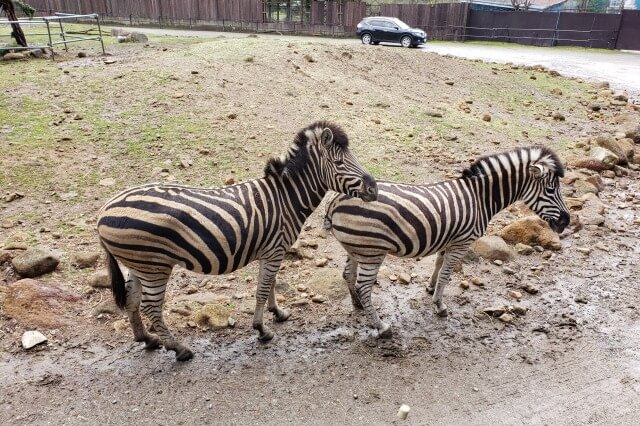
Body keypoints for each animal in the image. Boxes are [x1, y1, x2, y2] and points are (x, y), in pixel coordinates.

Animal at [94, 121, 376, 362]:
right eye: (339, 162)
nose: (373, 188)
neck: (287, 198)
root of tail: (103, 212)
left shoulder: (272, 251)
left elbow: (271, 284)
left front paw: (278, 313)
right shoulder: (275, 250)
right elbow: (263, 289)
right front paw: (262, 329)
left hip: (138, 264)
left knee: (132, 300)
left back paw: (147, 339)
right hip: (155, 266)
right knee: (151, 307)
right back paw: (179, 349)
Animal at [324, 145, 568, 338]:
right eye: (551, 190)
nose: (566, 221)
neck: (480, 199)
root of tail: (336, 199)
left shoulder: (449, 239)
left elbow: (439, 265)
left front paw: (431, 288)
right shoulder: (462, 243)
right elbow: (446, 274)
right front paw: (440, 305)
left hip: (358, 247)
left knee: (348, 274)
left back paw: (357, 304)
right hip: (372, 251)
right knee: (364, 286)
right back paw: (381, 327)